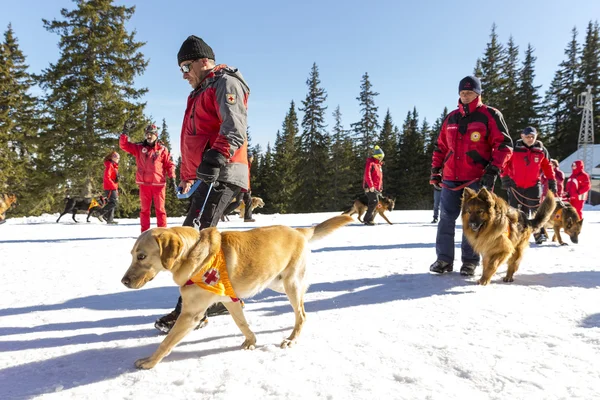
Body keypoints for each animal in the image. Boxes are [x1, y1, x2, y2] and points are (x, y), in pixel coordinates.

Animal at [120, 216, 352, 368]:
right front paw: (251, 341)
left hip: (290, 284)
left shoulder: (190, 314)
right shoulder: (230, 300)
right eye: (131, 255)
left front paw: (150, 361)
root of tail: (298, 230)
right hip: (276, 282)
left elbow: (166, 343)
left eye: (142, 256)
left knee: (302, 314)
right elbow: (242, 324)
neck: (194, 254)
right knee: (302, 310)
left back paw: (291, 339)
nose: (123, 281)